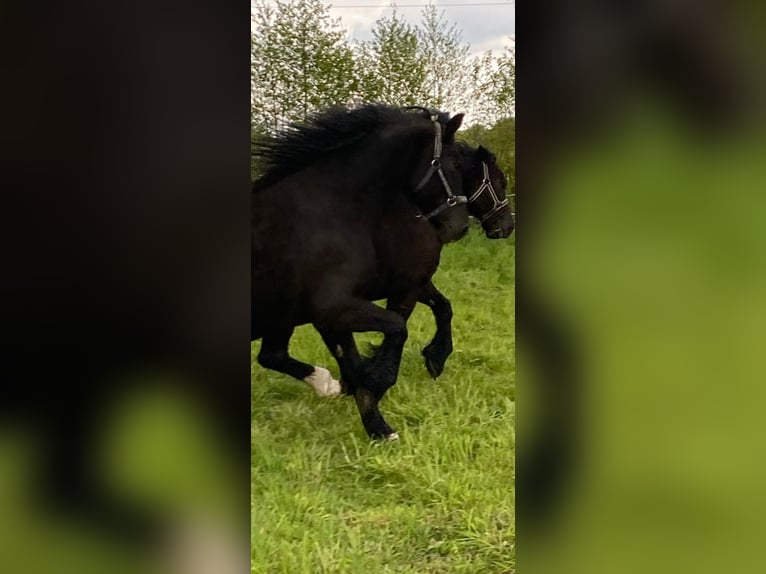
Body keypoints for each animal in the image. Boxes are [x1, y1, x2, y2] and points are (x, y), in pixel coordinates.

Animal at [252, 104, 471, 439]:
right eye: (456, 163)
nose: (459, 226)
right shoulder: (335, 308)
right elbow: (395, 328)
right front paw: (378, 413)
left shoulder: (330, 312)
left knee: (271, 355)